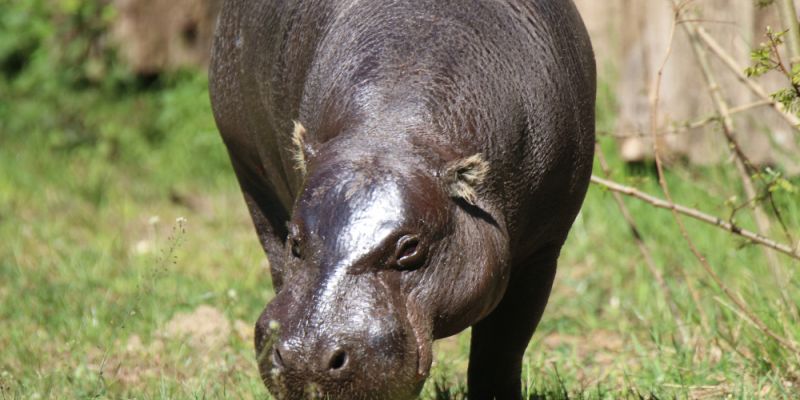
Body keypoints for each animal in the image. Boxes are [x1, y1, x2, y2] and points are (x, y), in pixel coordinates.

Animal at [209, 1, 596, 398]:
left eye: (410, 247)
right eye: (296, 242)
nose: (307, 356)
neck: (392, 129)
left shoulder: (542, 250)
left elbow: (501, 350)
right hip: (248, 171)